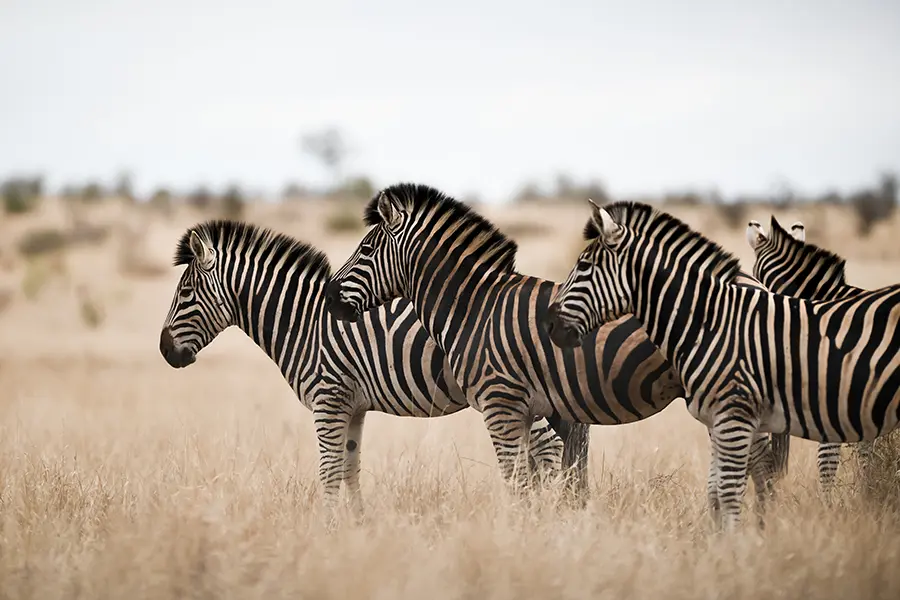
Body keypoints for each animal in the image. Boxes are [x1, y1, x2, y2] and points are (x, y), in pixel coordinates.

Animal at [158, 219, 582, 515]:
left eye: (185, 292)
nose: (164, 351)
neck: (303, 322)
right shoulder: (353, 406)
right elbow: (349, 467)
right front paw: (358, 528)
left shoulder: (328, 399)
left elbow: (329, 470)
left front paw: (327, 531)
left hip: (511, 390)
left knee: (547, 447)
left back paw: (545, 516)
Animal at [322, 183, 786, 514]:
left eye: (366, 248)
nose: (327, 296)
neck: (474, 308)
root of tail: (753, 281)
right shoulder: (528, 411)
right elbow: (534, 481)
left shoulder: (501, 405)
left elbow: (516, 484)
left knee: (759, 465)